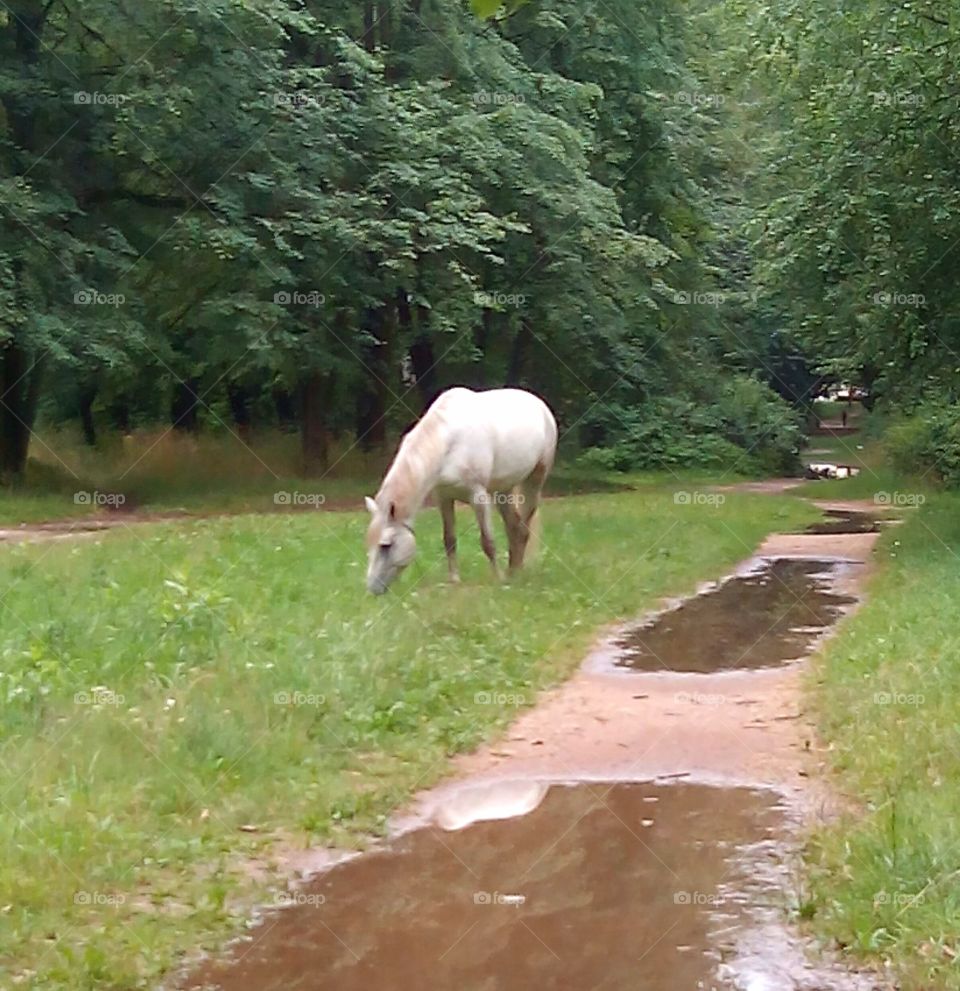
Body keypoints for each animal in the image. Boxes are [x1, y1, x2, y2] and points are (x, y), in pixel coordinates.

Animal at [364, 388, 560, 596]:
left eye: (386, 545)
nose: (373, 588)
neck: (449, 442)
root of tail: (539, 403)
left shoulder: (478, 496)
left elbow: (487, 542)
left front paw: (498, 580)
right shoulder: (443, 497)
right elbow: (449, 539)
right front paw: (455, 580)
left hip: (534, 480)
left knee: (523, 529)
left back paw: (515, 575)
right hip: (503, 491)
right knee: (514, 528)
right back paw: (513, 573)